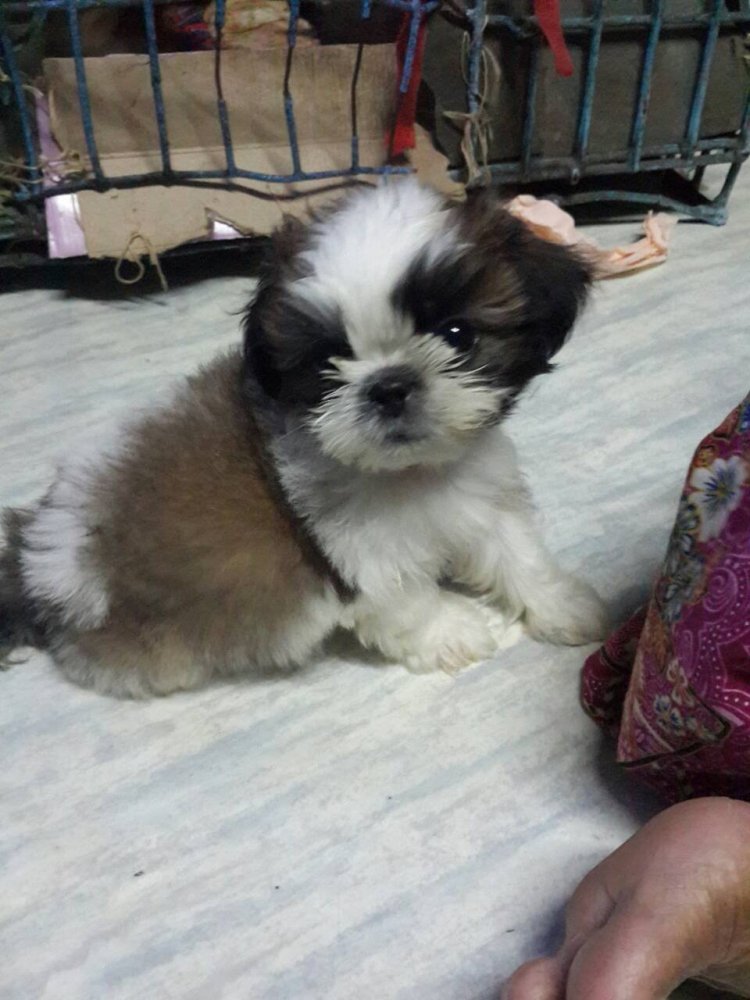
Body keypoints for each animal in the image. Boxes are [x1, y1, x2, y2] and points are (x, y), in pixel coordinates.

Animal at [0, 180, 607, 697]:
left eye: (458, 335)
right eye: (326, 362)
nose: (389, 386)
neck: (412, 474)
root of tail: (41, 550)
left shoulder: (484, 501)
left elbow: (518, 557)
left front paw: (566, 605)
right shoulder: (362, 555)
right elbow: (407, 602)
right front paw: (455, 630)